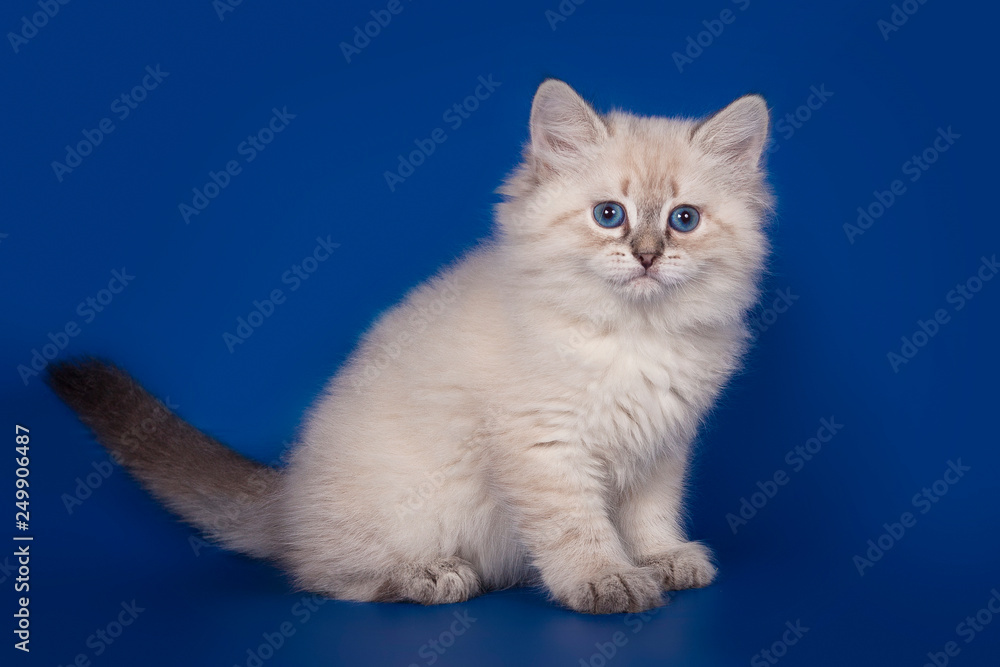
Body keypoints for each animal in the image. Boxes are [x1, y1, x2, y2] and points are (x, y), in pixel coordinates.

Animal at [48, 79, 772, 616]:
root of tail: (285, 495)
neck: (631, 335)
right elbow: (579, 528)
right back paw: (433, 576)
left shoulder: (663, 443)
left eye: (683, 220)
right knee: (325, 576)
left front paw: (660, 559)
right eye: (609, 215)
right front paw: (607, 579)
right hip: (402, 513)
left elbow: (649, 515)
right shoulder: (546, 446)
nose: (647, 257)